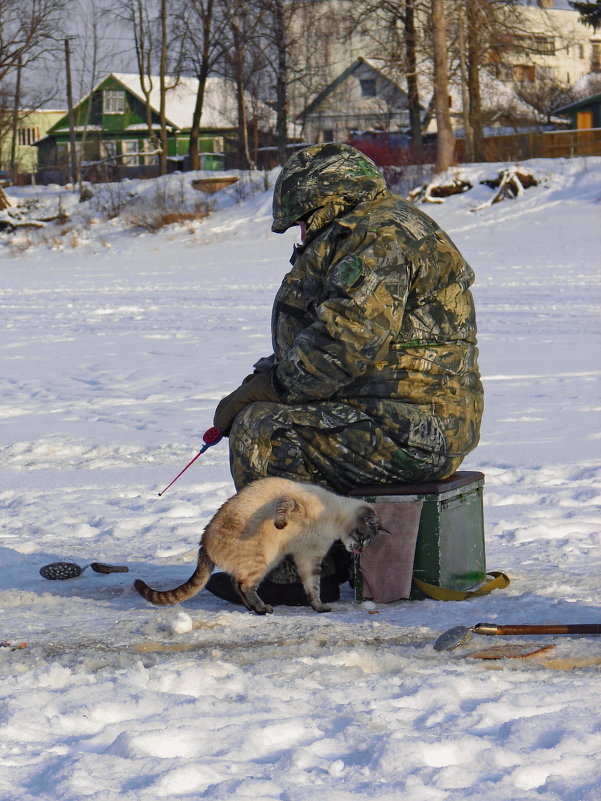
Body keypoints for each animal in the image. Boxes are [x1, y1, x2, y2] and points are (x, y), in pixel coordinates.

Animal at [133, 478, 382, 616]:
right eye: (363, 538)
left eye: (369, 542)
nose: (360, 550)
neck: (332, 523)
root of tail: (203, 540)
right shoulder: (291, 503)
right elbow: (283, 509)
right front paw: (280, 524)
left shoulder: (310, 557)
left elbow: (313, 588)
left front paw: (319, 607)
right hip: (264, 557)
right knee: (244, 584)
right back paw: (262, 609)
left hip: (269, 560)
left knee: (238, 583)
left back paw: (254, 608)